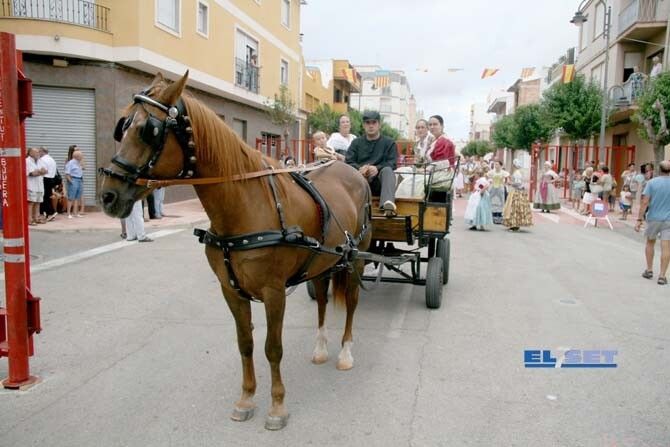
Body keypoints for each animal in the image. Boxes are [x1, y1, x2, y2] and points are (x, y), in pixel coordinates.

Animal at [98, 72, 372, 430]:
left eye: (149, 130)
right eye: (123, 126)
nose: (108, 195)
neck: (245, 204)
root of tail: (352, 169)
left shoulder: (274, 292)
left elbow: (273, 348)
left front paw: (277, 406)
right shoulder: (230, 290)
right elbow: (246, 344)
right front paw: (246, 398)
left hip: (356, 260)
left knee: (352, 302)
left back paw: (345, 353)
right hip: (323, 261)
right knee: (324, 301)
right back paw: (321, 348)